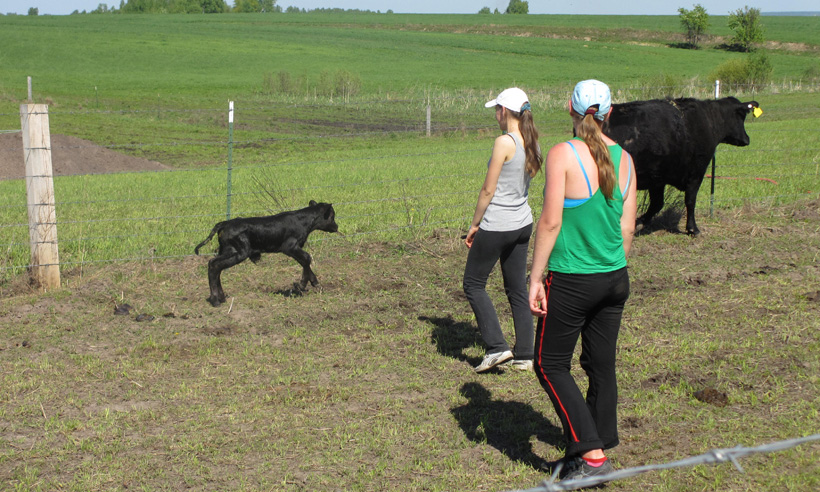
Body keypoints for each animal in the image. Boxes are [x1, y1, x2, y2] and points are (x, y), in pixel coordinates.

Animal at [194, 200, 339, 307]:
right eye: (332, 216)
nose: (336, 227)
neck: (302, 221)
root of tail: (224, 223)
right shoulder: (289, 247)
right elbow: (307, 258)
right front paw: (302, 285)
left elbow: (304, 261)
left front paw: (314, 283)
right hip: (239, 252)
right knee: (214, 265)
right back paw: (215, 300)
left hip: (227, 250)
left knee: (216, 266)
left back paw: (221, 297)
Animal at [603, 97, 761, 236]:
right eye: (741, 116)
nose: (747, 139)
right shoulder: (696, 172)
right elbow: (690, 200)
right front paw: (693, 229)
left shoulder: (657, 178)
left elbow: (657, 203)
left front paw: (639, 222)